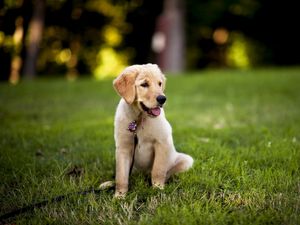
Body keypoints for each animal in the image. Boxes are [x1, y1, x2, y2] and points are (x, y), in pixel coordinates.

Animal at [113, 63, 195, 197]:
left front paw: (158, 189)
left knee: (167, 173)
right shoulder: (123, 148)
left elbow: (158, 170)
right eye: (144, 84)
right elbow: (121, 176)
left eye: (159, 83)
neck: (139, 118)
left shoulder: (162, 142)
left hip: (186, 160)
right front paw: (119, 196)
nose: (162, 99)